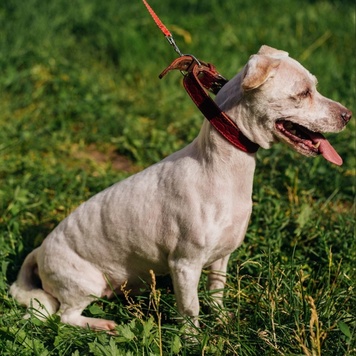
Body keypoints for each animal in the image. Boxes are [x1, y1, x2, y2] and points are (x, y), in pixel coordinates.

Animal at [9, 45, 352, 330]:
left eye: (315, 86)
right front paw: (193, 340)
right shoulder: (185, 266)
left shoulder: (221, 259)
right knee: (65, 316)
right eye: (303, 93)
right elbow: (190, 310)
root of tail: (38, 252)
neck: (223, 168)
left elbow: (216, 294)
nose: (348, 115)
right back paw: (104, 325)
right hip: (86, 284)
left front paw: (221, 320)